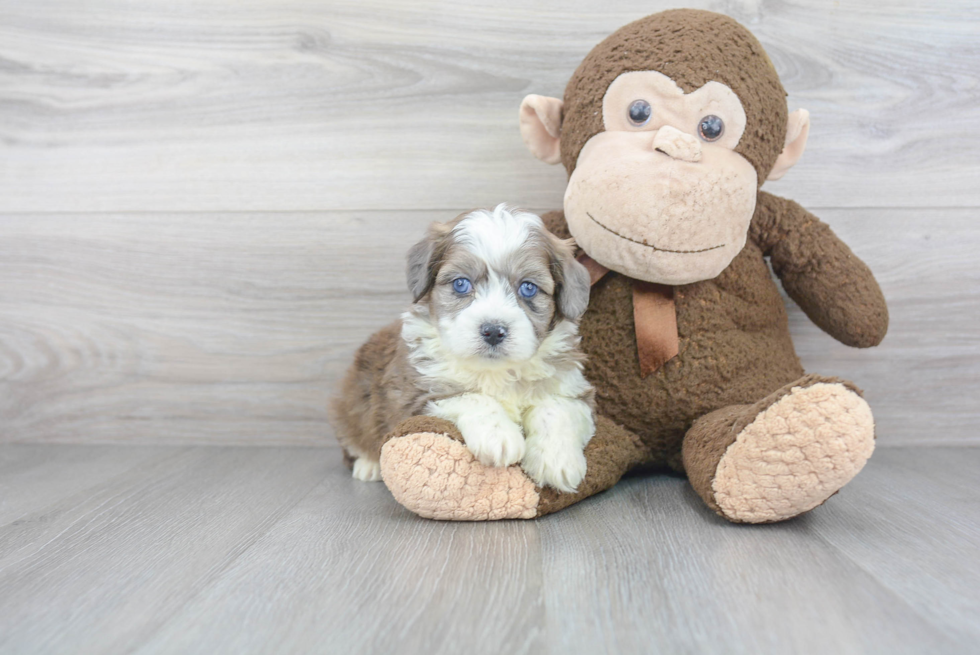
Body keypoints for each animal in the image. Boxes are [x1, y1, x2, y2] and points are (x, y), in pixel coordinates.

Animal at [330, 205, 592, 492]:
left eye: (528, 287)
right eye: (461, 283)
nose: (493, 331)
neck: (496, 371)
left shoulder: (574, 388)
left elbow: (556, 408)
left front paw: (556, 460)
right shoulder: (413, 395)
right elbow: (470, 397)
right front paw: (498, 435)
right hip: (351, 403)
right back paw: (368, 465)